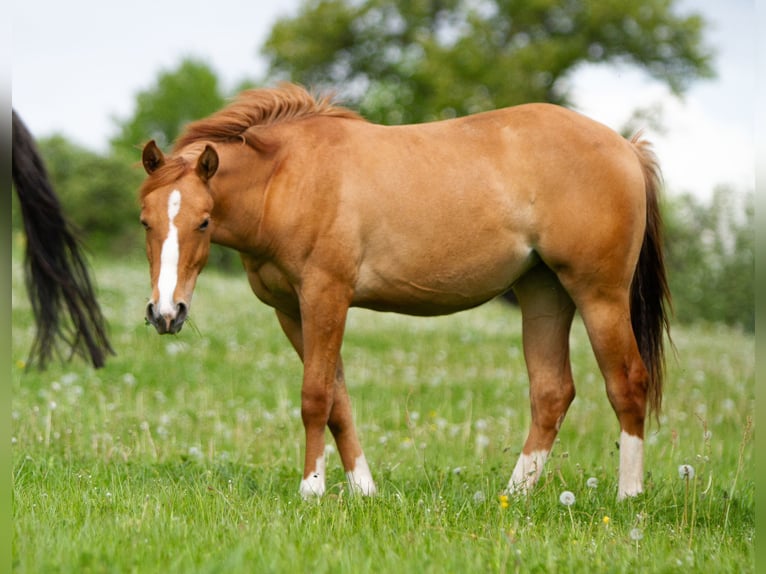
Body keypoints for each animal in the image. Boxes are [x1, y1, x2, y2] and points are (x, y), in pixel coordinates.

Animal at [138, 83, 672, 502]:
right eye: (145, 221)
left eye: (203, 221)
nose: (166, 313)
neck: (288, 178)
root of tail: (625, 147)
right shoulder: (291, 310)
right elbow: (338, 400)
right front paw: (363, 489)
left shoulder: (325, 297)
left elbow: (315, 395)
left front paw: (312, 488)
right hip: (544, 293)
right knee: (551, 392)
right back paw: (514, 496)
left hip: (599, 296)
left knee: (627, 383)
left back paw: (628, 496)